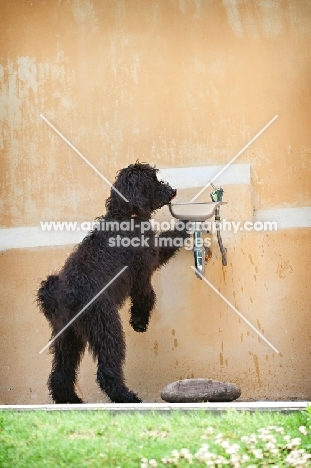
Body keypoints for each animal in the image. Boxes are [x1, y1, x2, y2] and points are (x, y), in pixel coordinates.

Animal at [36, 163, 188, 404]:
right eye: (153, 180)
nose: (172, 190)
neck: (125, 215)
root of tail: (62, 295)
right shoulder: (143, 270)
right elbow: (147, 296)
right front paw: (139, 322)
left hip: (67, 338)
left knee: (60, 374)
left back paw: (70, 400)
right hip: (106, 326)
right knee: (106, 371)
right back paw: (126, 397)